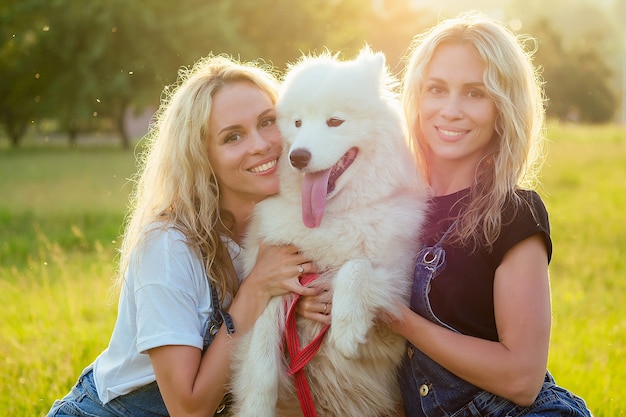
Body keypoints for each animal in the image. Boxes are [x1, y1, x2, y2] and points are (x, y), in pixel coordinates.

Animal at [232, 48, 426, 416]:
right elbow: (261, 345)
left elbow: (356, 266)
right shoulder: (276, 277)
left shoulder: (398, 295)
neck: (331, 219)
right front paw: (257, 403)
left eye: (335, 122)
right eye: (297, 124)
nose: (297, 157)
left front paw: (347, 327)